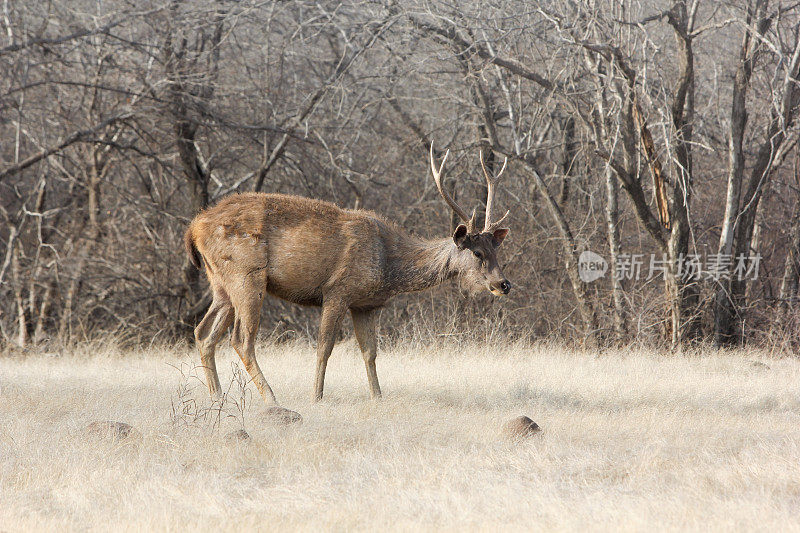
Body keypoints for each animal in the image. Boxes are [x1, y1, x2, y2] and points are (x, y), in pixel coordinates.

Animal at [185, 144, 512, 420]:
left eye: (497, 249)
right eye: (478, 252)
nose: (503, 284)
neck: (388, 265)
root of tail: (194, 227)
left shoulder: (366, 305)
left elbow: (370, 352)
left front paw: (378, 397)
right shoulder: (338, 290)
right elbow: (324, 346)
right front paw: (317, 396)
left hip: (220, 284)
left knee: (204, 333)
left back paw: (217, 398)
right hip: (246, 274)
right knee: (241, 338)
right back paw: (272, 399)